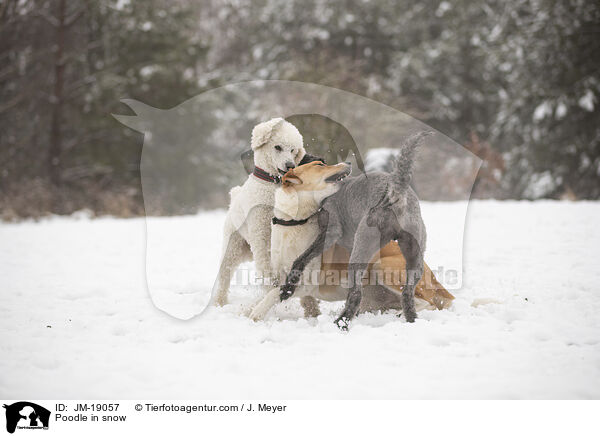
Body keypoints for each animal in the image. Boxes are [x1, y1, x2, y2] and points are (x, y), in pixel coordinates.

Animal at [282, 131, 432, 328]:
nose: (348, 163)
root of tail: (397, 195)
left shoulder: (330, 233)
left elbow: (301, 258)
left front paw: (287, 288)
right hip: (415, 256)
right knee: (407, 293)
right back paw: (411, 320)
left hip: (363, 245)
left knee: (356, 294)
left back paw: (341, 322)